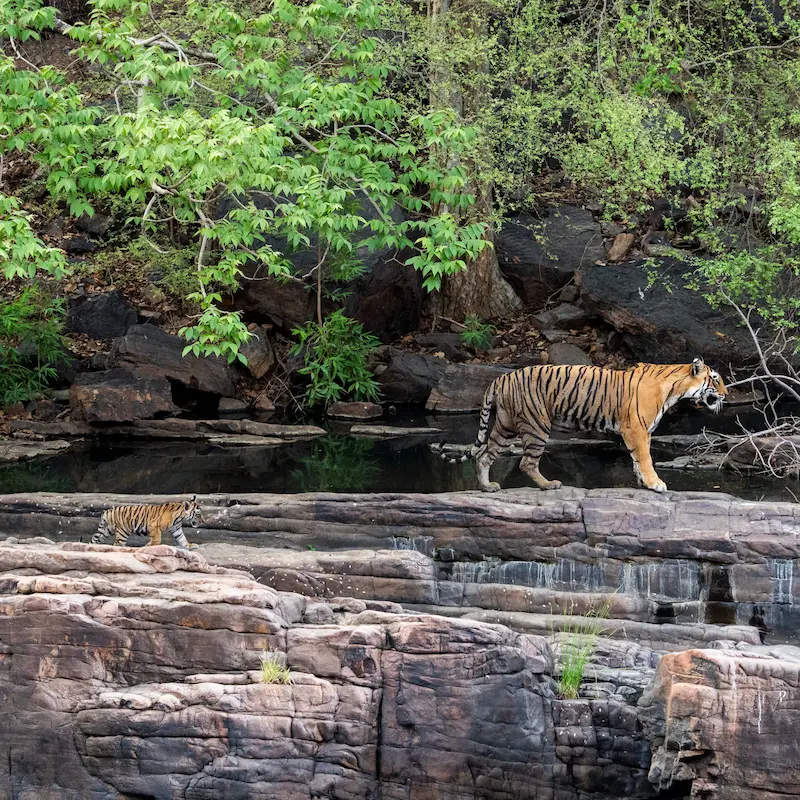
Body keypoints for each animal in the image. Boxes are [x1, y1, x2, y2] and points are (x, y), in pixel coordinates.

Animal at [435, 358, 727, 494]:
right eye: (715, 379)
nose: (726, 395)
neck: (675, 390)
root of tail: (500, 378)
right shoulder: (636, 429)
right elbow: (645, 458)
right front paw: (656, 484)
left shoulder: (641, 432)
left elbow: (638, 459)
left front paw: (643, 483)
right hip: (536, 425)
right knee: (526, 462)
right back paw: (549, 485)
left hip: (505, 426)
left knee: (484, 455)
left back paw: (487, 487)